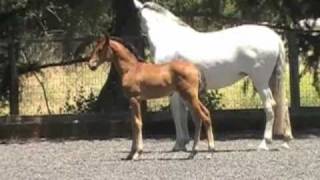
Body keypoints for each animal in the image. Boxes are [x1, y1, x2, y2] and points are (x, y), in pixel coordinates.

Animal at [87, 34, 215, 160]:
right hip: (189, 97)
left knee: (204, 117)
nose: (91, 65)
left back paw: (210, 151)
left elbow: (138, 123)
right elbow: (134, 124)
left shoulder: (135, 99)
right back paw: (193, 152)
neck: (130, 69)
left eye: (100, 49)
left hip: (190, 96)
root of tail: (196, 69)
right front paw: (130, 154)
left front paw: (137, 153)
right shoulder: (134, 101)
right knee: (202, 116)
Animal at [132, 0, 292, 150]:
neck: (169, 39)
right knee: (282, 104)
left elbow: (177, 113)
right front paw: (184, 143)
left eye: (136, 16)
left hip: (260, 81)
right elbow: (183, 113)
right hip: (271, 80)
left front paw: (179, 144)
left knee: (270, 105)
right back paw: (286, 140)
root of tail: (275, 37)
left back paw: (264, 143)